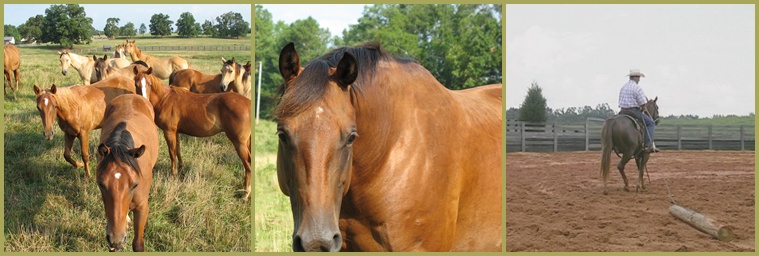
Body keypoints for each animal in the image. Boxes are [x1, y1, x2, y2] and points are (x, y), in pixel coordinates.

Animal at [133, 66, 252, 200]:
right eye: (136, 84)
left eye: (149, 84)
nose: (144, 101)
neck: (164, 99)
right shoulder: (175, 132)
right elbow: (178, 150)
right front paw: (180, 168)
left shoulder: (169, 132)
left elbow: (172, 153)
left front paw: (173, 175)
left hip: (239, 143)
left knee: (248, 165)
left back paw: (245, 194)